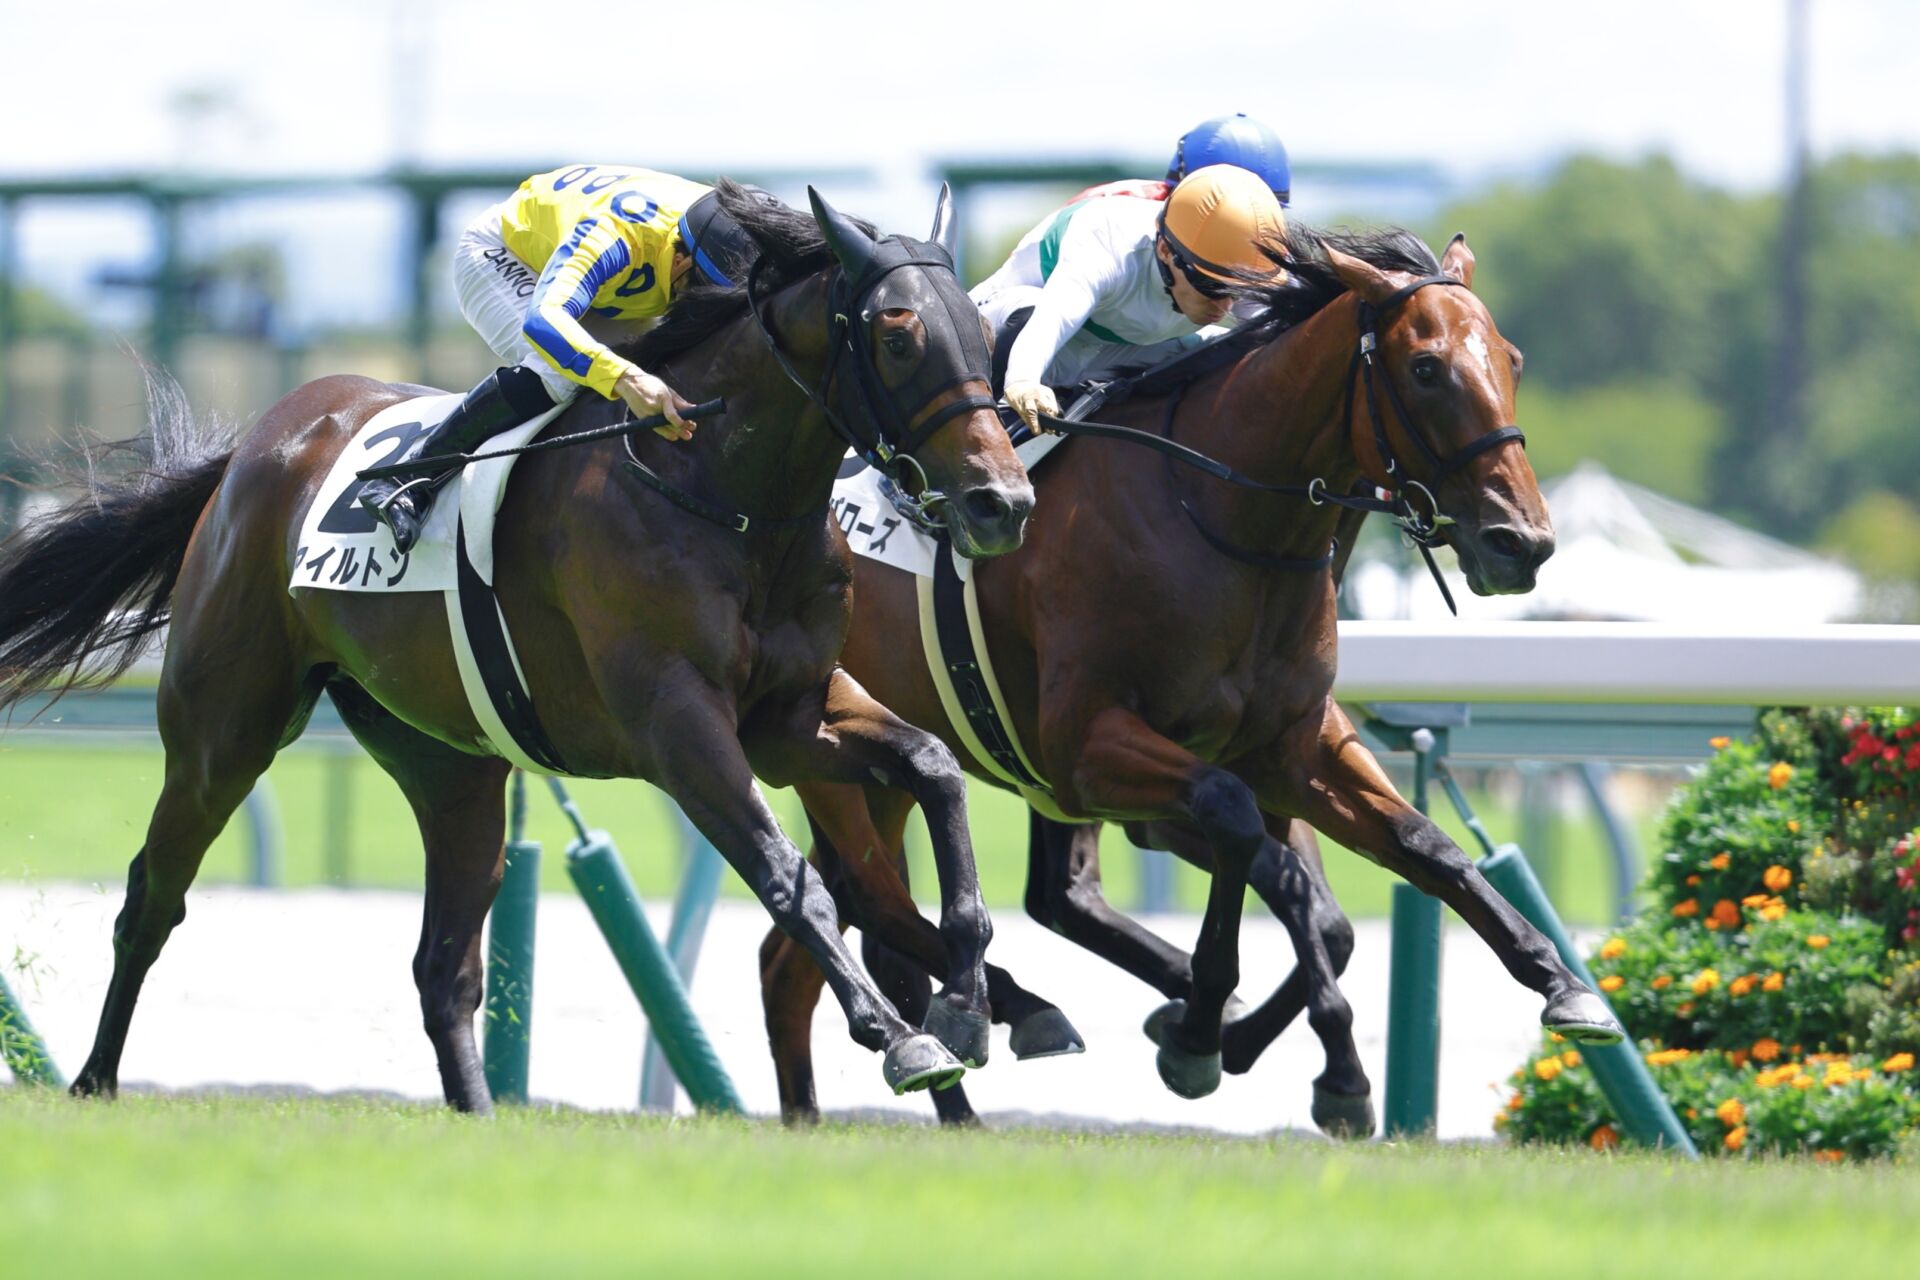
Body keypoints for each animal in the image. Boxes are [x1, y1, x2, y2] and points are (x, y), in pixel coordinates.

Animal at [0, 182, 1042, 1112]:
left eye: (980, 333)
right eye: (898, 336)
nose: (1002, 501)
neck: (723, 490)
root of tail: (257, 447)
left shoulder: (789, 716)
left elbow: (933, 766)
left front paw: (971, 1001)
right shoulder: (678, 726)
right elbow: (791, 879)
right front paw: (904, 1038)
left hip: (449, 765)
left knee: (443, 966)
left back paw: (479, 1116)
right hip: (224, 730)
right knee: (152, 897)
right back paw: (92, 1080)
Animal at [756, 223, 1626, 1131]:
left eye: (1512, 359)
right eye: (1425, 367)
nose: (1521, 541)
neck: (1221, 519)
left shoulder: (1291, 749)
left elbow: (1418, 852)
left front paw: (1560, 984)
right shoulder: (1091, 752)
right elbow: (1240, 826)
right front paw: (1204, 1029)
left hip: (876, 765)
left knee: (818, 946)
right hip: (830, 748)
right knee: (869, 905)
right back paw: (1002, 1030)